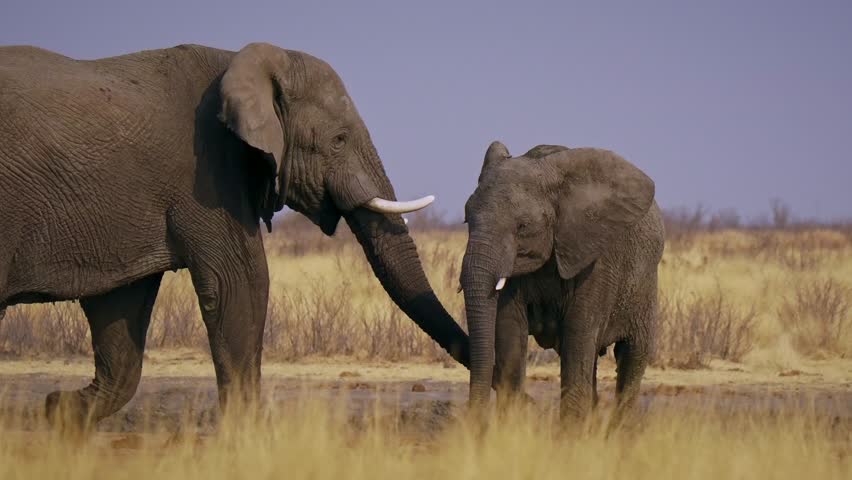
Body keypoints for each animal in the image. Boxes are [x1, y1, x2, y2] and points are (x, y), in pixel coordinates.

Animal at [0, 42, 471, 428]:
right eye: (338, 140)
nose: (496, 381)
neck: (240, 61)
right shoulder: (206, 172)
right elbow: (242, 282)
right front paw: (247, 435)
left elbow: (121, 309)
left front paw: (58, 410)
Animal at [460, 141, 664, 424]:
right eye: (467, 219)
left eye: (523, 226)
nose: (474, 422)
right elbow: (510, 330)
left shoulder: (597, 260)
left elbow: (579, 332)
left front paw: (569, 435)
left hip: (644, 285)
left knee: (632, 355)